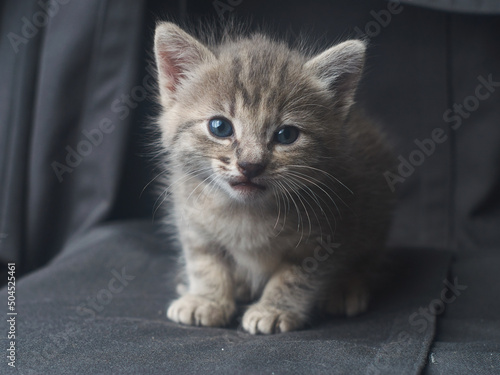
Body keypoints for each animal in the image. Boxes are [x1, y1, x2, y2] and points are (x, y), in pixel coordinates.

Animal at [152, 22, 394, 334]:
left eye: (286, 135)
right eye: (220, 127)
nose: (250, 165)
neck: (246, 213)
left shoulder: (328, 235)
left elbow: (295, 277)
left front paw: (274, 309)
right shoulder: (193, 222)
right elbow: (205, 262)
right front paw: (206, 300)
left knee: (368, 258)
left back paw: (347, 287)